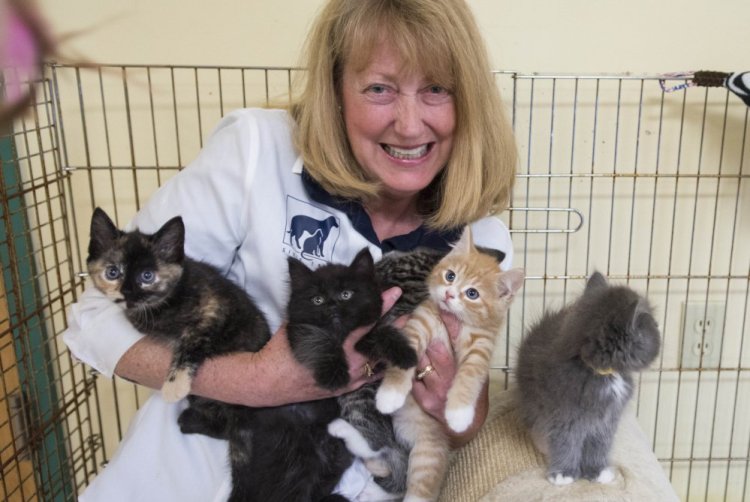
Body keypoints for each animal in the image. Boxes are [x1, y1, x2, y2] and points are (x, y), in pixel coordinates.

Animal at [374, 227, 524, 502]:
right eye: (450, 276)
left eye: (473, 293)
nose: (449, 294)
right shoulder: (419, 322)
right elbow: (406, 353)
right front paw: (389, 395)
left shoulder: (481, 346)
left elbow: (471, 375)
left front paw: (459, 415)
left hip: (429, 451)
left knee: (422, 487)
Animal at [520, 272, 660, 484]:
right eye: (653, 327)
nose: (660, 331)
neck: (601, 374)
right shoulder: (564, 416)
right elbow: (565, 443)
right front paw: (563, 474)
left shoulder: (607, 421)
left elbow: (599, 445)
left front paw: (596, 471)